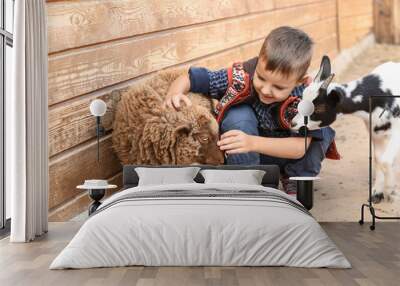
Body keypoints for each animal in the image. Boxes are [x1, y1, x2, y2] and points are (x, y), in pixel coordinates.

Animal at [290, 56, 400, 203]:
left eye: (317, 109)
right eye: (300, 101)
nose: (293, 124)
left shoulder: (397, 131)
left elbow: (385, 160)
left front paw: (392, 191)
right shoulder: (375, 132)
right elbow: (379, 159)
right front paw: (377, 192)